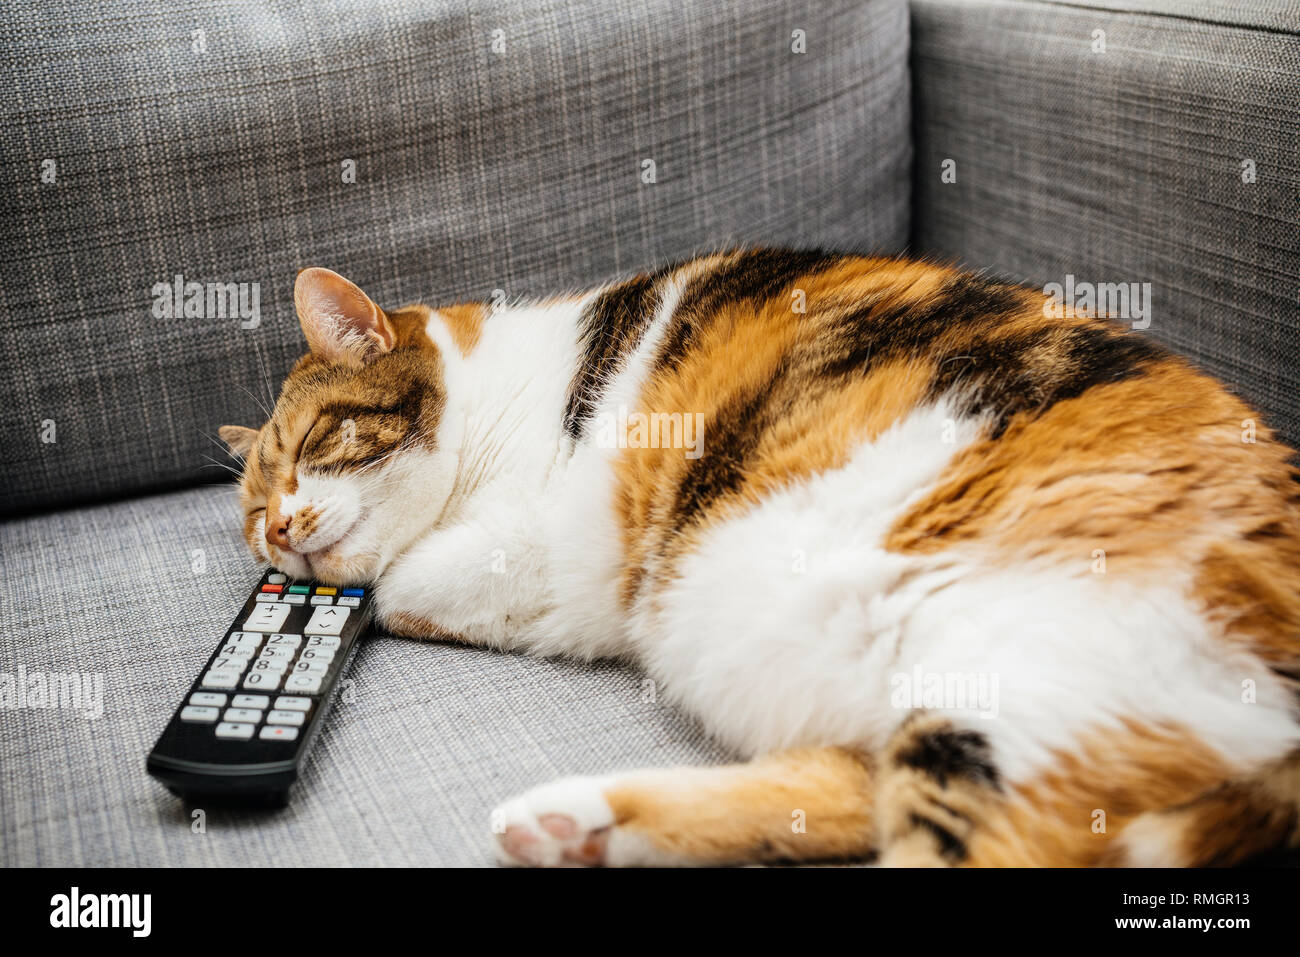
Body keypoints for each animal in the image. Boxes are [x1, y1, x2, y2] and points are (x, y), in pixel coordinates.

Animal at [220, 248, 1300, 868]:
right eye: (252, 512)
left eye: (313, 442)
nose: (279, 534)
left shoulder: (562, 547)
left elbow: (409, 576)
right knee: (850, 792)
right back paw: (577, 824)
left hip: (1018, 663)